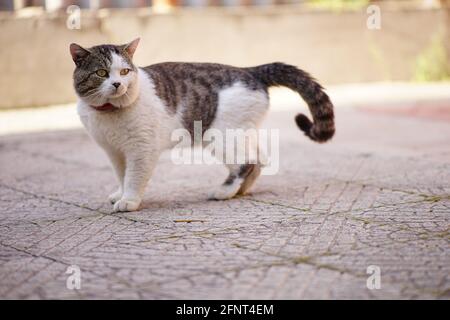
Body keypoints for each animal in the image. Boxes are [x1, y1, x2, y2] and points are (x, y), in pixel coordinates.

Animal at [70, 38, 334, 212]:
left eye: (125, 71)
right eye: (102, 73)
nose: (117, 84)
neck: (109, 113)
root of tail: (249, 71)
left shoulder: (141, 150)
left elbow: (134, 177)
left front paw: (129, 200)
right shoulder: (114, 151)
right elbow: (121, 175)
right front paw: (119, 193)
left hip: (222, 136)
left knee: (247, 162)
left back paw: (224, 191)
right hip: (243, 132)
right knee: (261, 159)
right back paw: (241, 191)